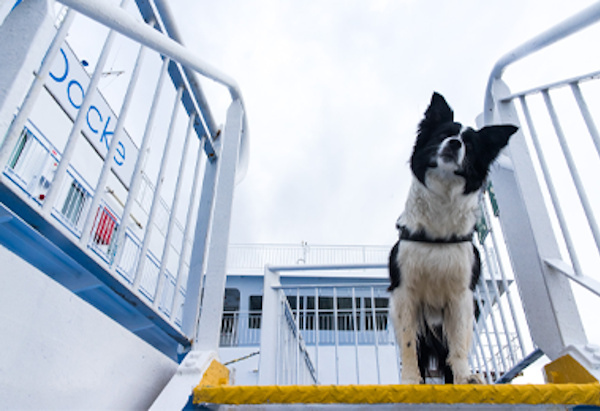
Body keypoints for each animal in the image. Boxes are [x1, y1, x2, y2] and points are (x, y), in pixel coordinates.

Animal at [390, 91, 516, 384]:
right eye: (442, 135)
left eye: (469, 145)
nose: (455, 143)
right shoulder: (404, 291)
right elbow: (409, 343)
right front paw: (410, 379)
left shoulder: (461, 295)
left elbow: (458, 344)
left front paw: (464, 378)